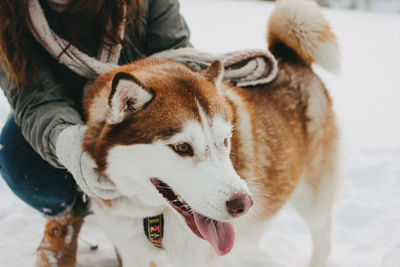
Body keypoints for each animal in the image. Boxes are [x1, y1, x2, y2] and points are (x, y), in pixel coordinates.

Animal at [83, 0, 340, 266]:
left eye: (225, 141)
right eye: (183, 147)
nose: (243, 204)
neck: (154, 217)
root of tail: (289, 58)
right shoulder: (133, 253)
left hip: (313, 199)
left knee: (323, 238)